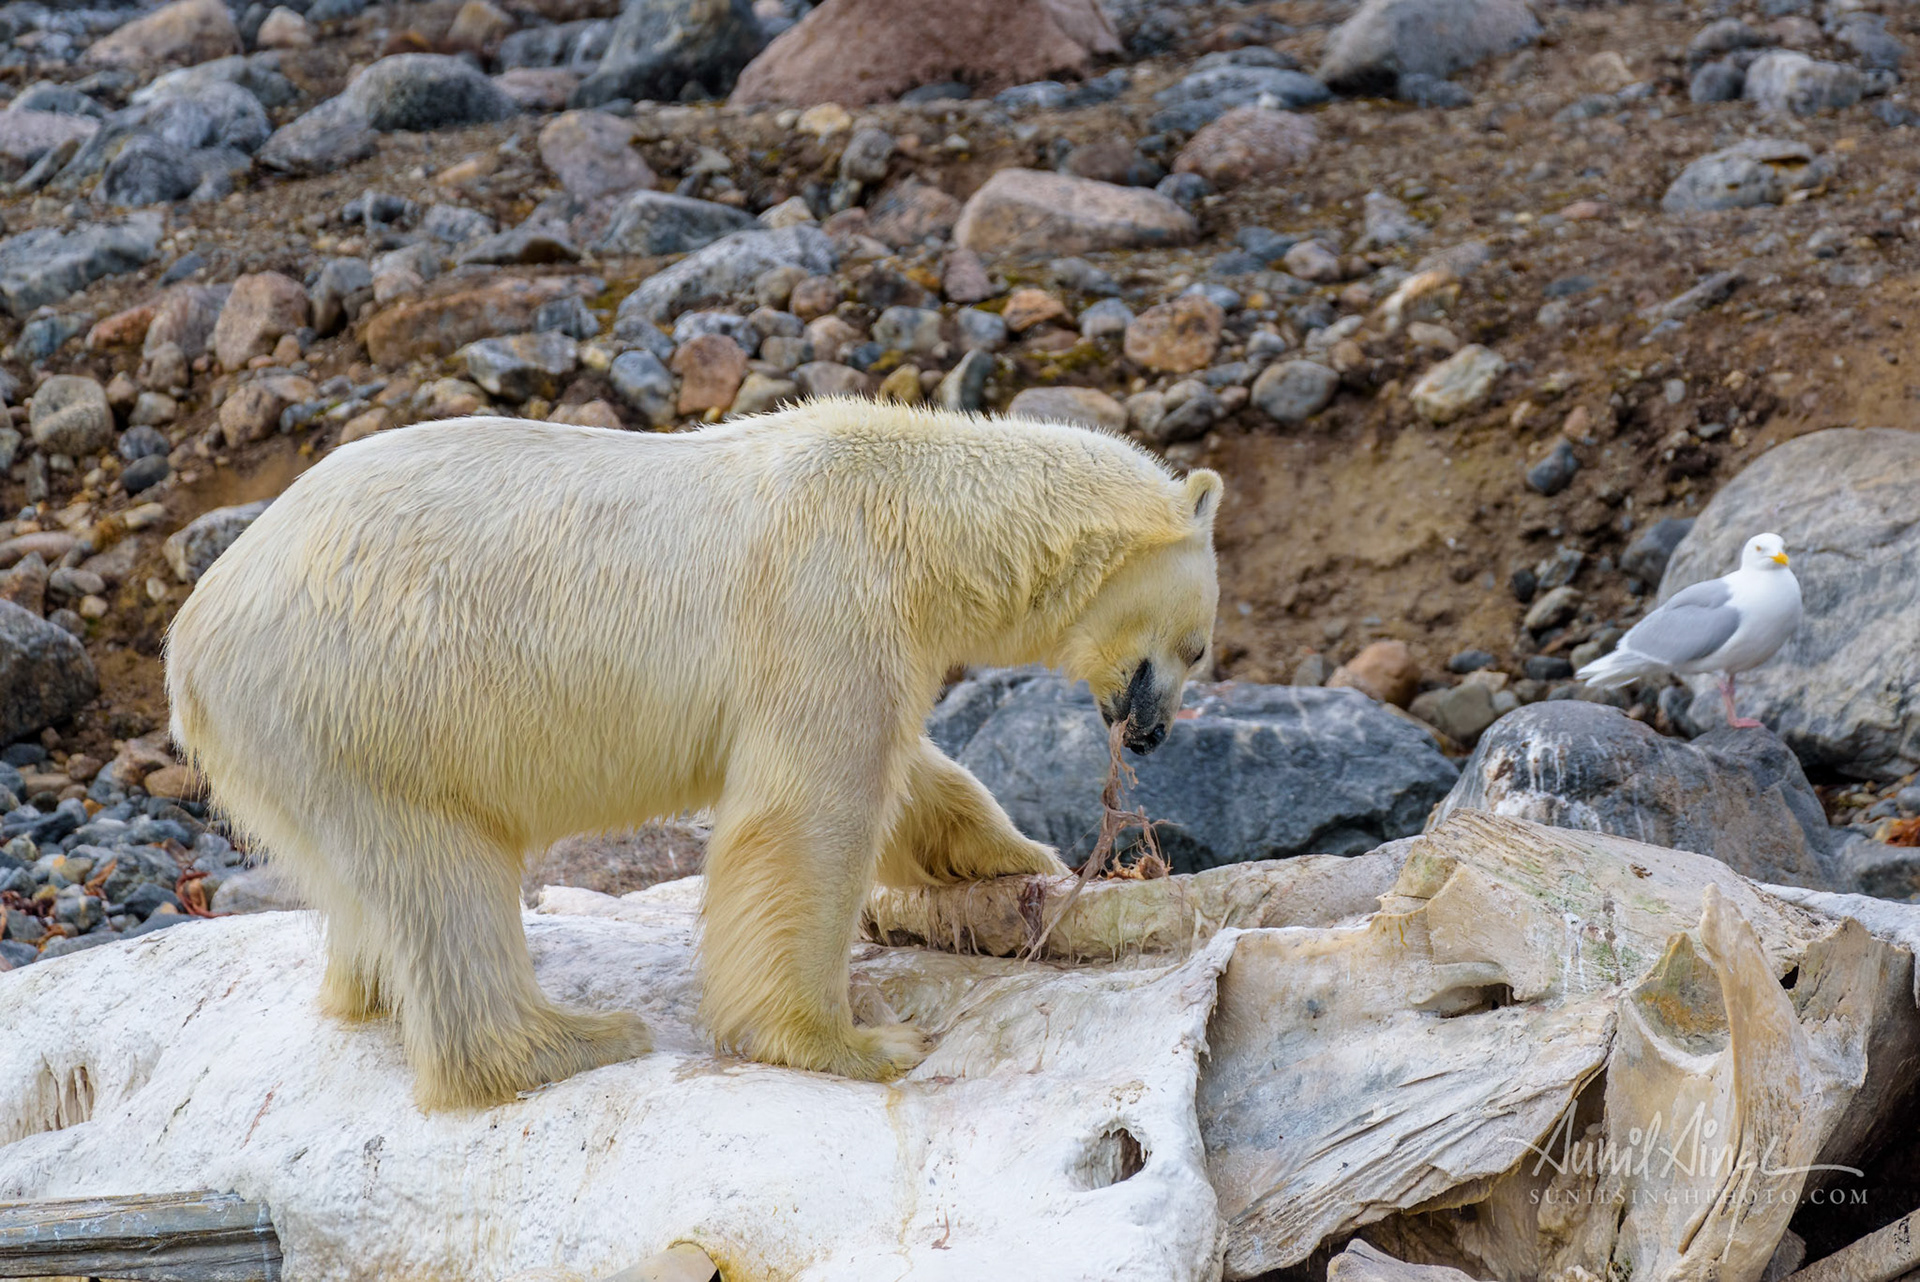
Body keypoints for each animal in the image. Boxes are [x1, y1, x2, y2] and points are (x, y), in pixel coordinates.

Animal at [165, 402, 1223, 1110]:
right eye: (1202, 646)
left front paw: (1012, 856)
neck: (914, 511)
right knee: (439, 872)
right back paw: (571, 1041)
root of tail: (191, 643)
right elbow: (810, 813)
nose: (1152, 731)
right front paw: (851, 1042)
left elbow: (904, 769)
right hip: (364, 695)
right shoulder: (824, 594)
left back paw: (375, 993)